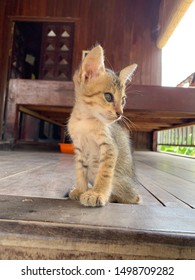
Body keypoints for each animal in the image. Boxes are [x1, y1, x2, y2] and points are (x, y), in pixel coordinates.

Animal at [68, 44, 141, 207]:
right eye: (108, 96)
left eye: (123, 100)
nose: (120, 113)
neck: (85, 120)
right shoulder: (79, 148)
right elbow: (79, 170)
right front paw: (81, 189)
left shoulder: (110, 147)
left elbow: (105, 173)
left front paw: (97, 193)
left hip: (122, 182)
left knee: (135, 198)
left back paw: (111, 196)